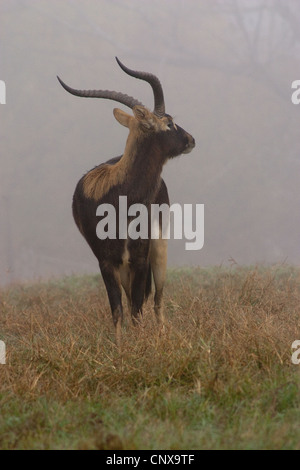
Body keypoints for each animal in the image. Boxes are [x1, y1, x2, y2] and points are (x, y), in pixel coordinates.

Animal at [57, 59, 196, 346]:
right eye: (169, 123)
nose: (191, 140)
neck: (120, 197)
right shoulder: (106, 262)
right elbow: (118, 310)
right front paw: (121, 348)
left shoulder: (140, 258)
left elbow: (137, 310)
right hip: (124, 267)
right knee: (137, 300)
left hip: (158, 249)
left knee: (156, 300)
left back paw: (162, 336)